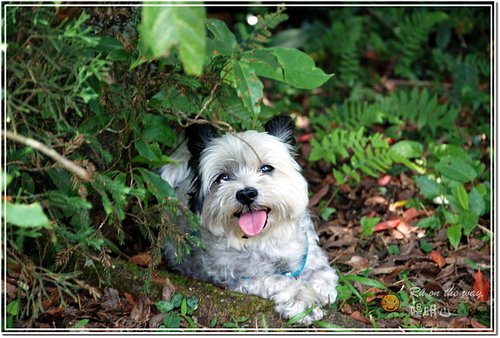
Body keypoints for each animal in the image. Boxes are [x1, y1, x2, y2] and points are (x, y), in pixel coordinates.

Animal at [159, 116, 340, 324]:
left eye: (266, 168)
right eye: (223, 177)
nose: (246, 194)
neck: (265, 240)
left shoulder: (310, 253)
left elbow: (322, 272)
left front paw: (321, 289)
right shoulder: (243, 280)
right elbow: (278, 280)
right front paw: (302, 300)